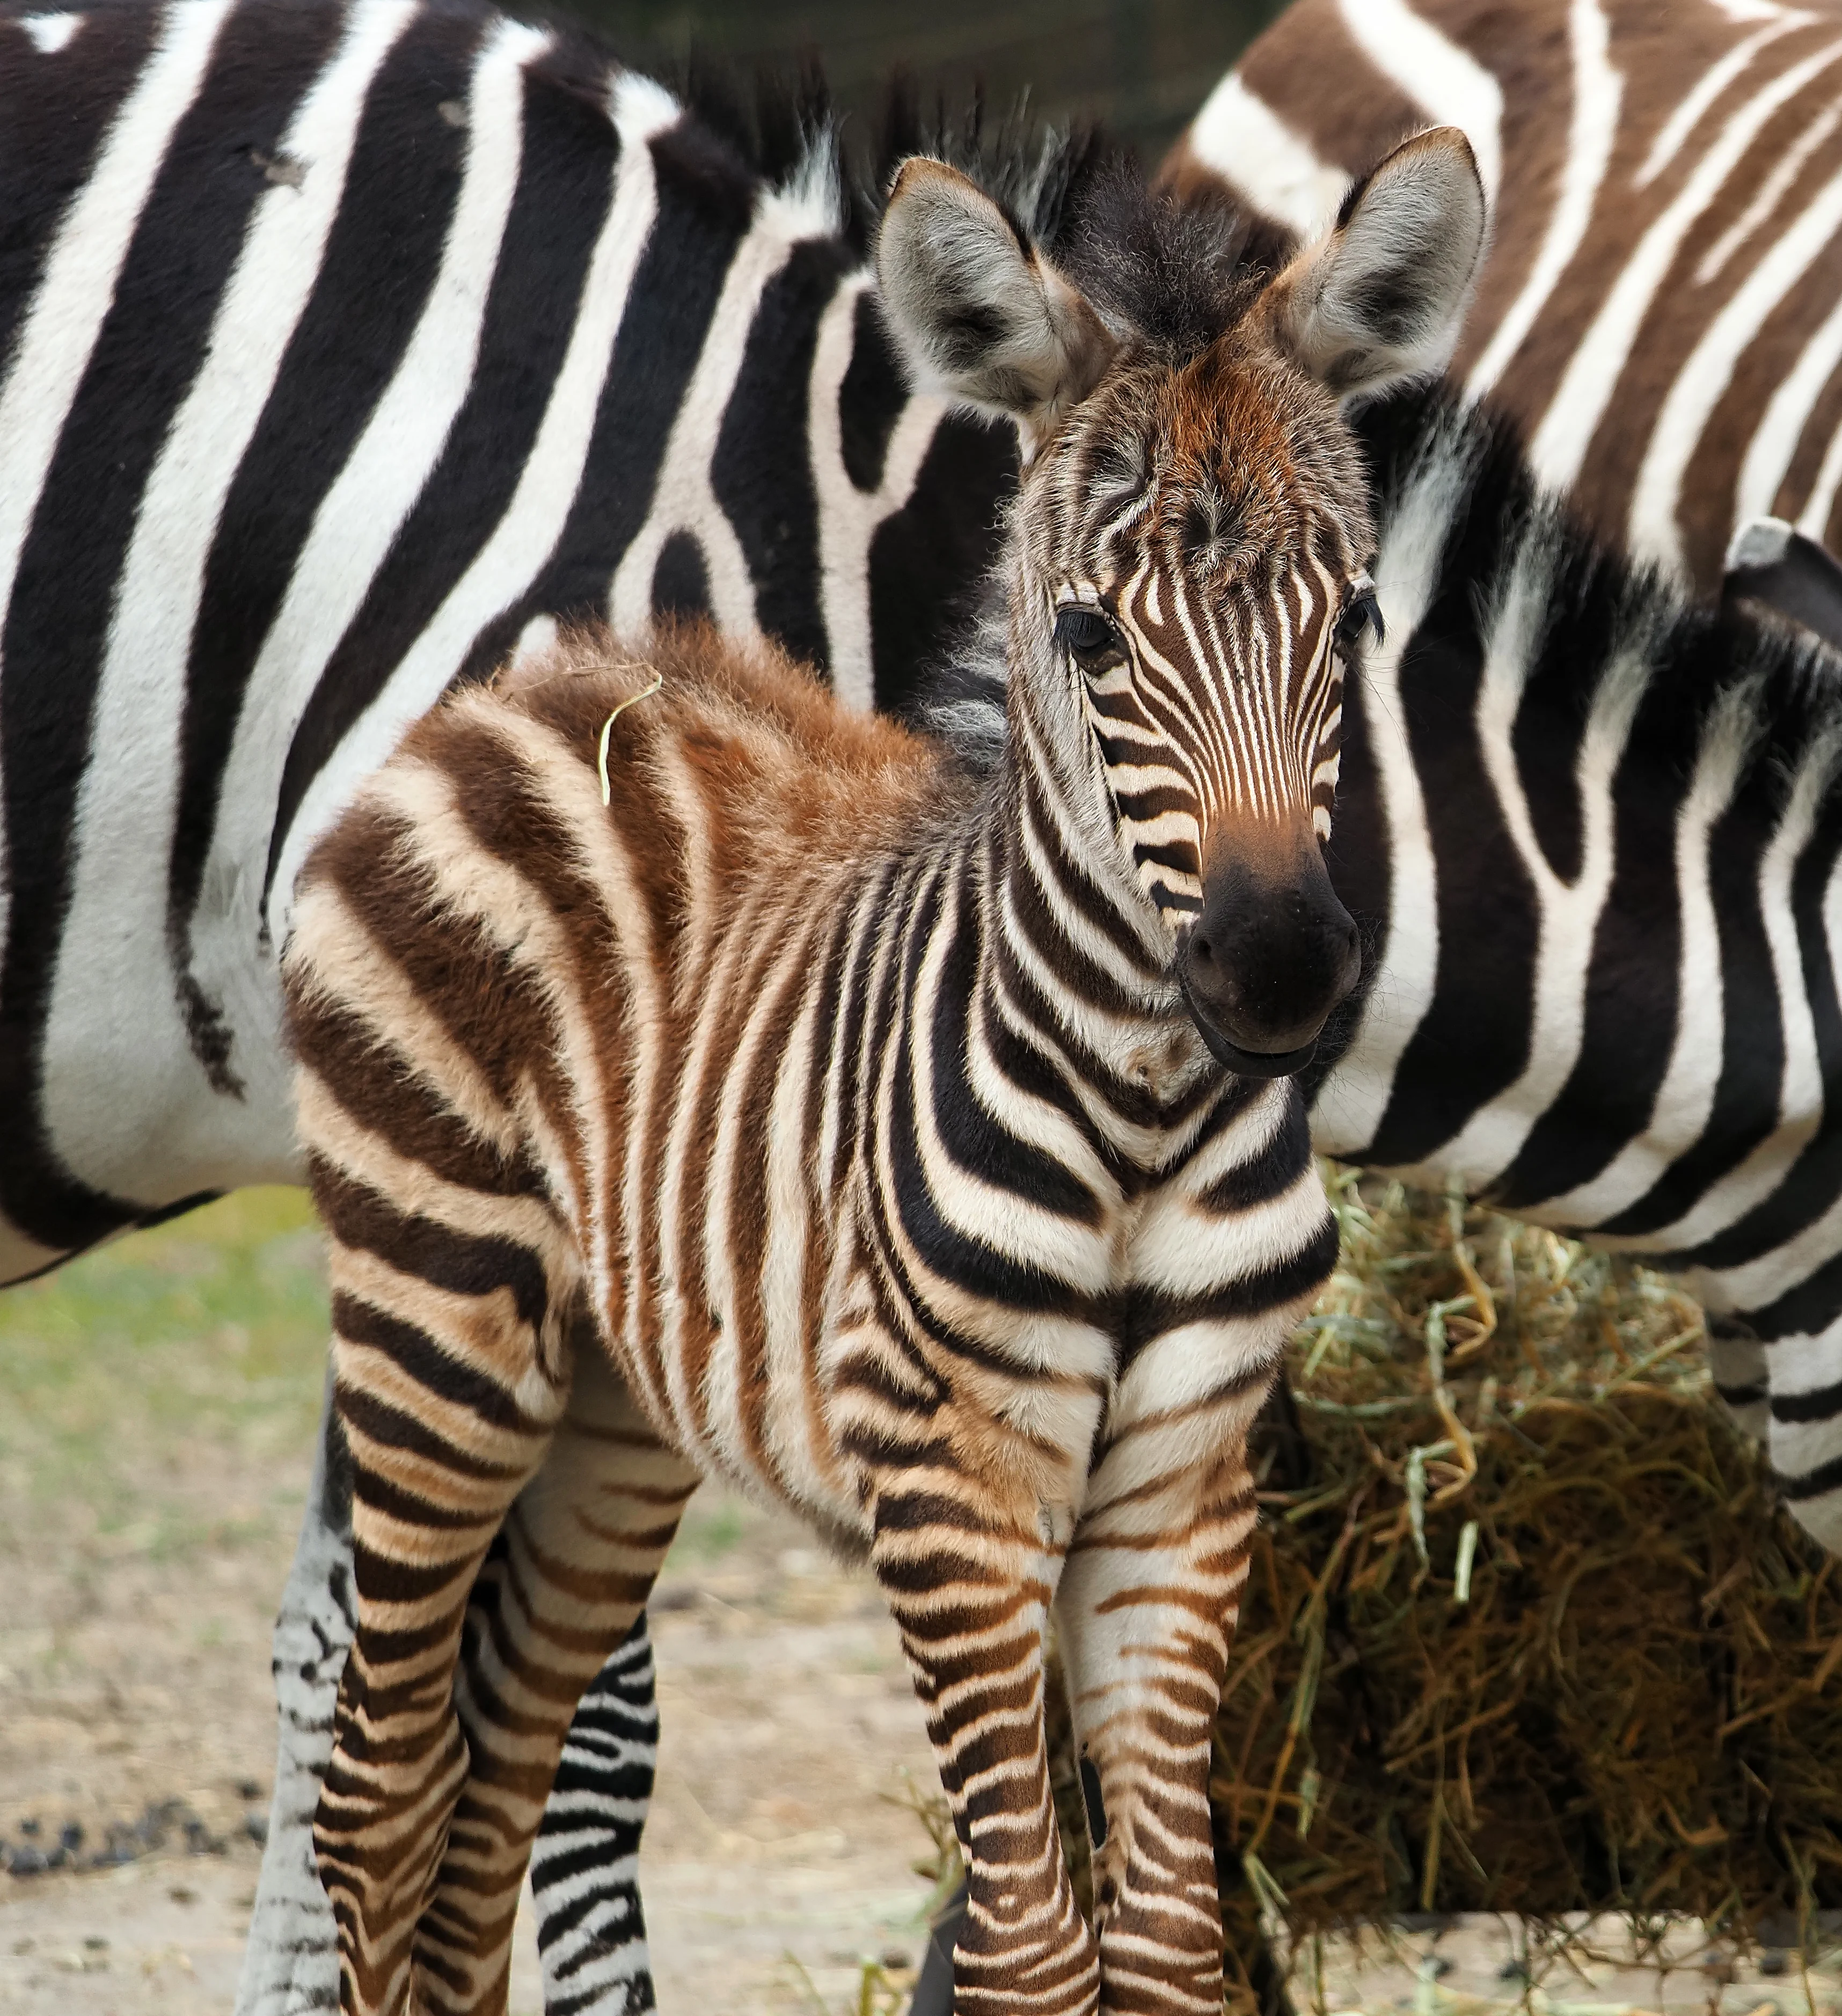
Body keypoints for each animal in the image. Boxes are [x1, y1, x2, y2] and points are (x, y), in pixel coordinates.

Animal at [278, 127, 1485, 2016]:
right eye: (1087, 638)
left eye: (1352, 619)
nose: (1280, 969)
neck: (1142, 1111)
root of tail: (524, 688)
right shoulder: (951, 1482)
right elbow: (1030, 1944)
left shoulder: (1179, 1488)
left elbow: (1161, 1937)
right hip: (437, 1319)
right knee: (380, 1793)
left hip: (614, 1414)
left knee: (486, 1797)